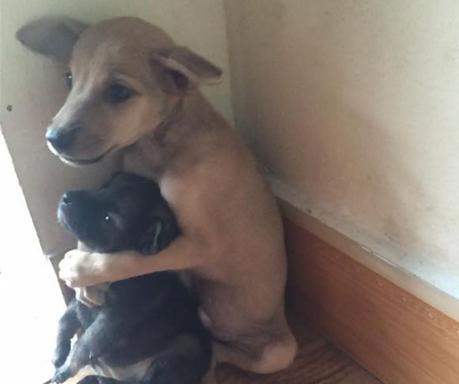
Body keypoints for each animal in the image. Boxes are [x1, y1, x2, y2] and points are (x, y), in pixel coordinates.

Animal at [53, 174, 211, 384]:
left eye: (108, 218)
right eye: (103, 187)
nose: (66, 197)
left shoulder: (111, 322)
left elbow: (84, 345)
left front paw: (65, 369)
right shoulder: (80, 301)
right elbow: (65, 320)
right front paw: (58, 353)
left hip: (185, 348)